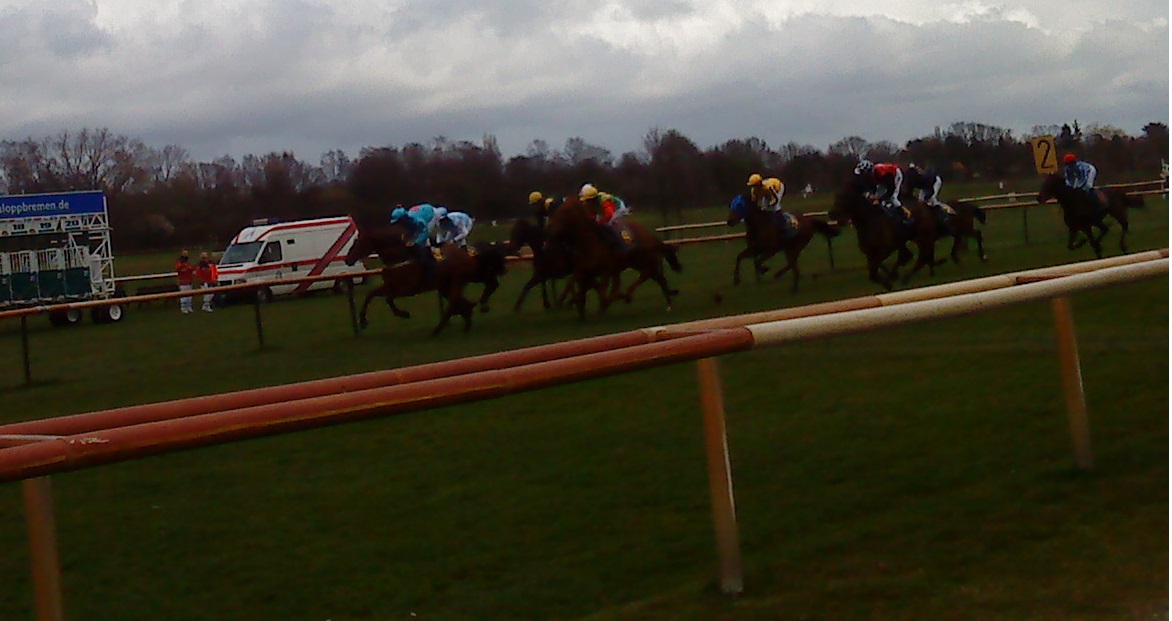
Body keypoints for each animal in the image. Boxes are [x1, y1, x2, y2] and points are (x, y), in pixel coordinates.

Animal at [543, 195, 684, 318]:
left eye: (564, 212)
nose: (549, 228)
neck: (588, 243)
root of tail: (649, 234)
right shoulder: (583, 271)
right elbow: (575, 285)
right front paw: (569, 303)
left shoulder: (606, 271)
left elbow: (603, 294)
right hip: (636, 262)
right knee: (657, 277)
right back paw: (668, 302)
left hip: (643, 259)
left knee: (648, 274)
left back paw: (630, 293)